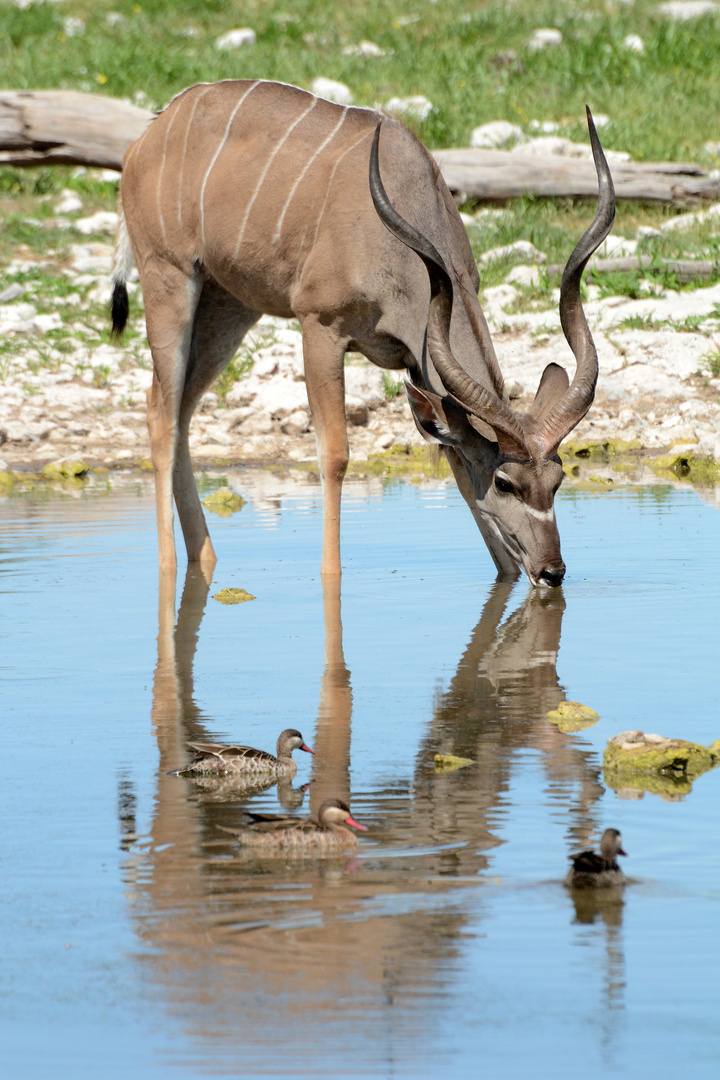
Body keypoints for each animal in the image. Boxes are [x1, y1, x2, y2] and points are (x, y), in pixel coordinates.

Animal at [112, 79, 613, 587]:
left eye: (557, 480)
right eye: (505, 482)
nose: (552, 571)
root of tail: (149, 135)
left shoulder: (420, 365)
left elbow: (456, 466)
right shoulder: (320, 326)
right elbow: (335, 455)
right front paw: (330, 575)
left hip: (229, 304)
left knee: (180, 411)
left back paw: (207, 559)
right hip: (169, 280)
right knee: (161, 412)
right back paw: (169, 565)